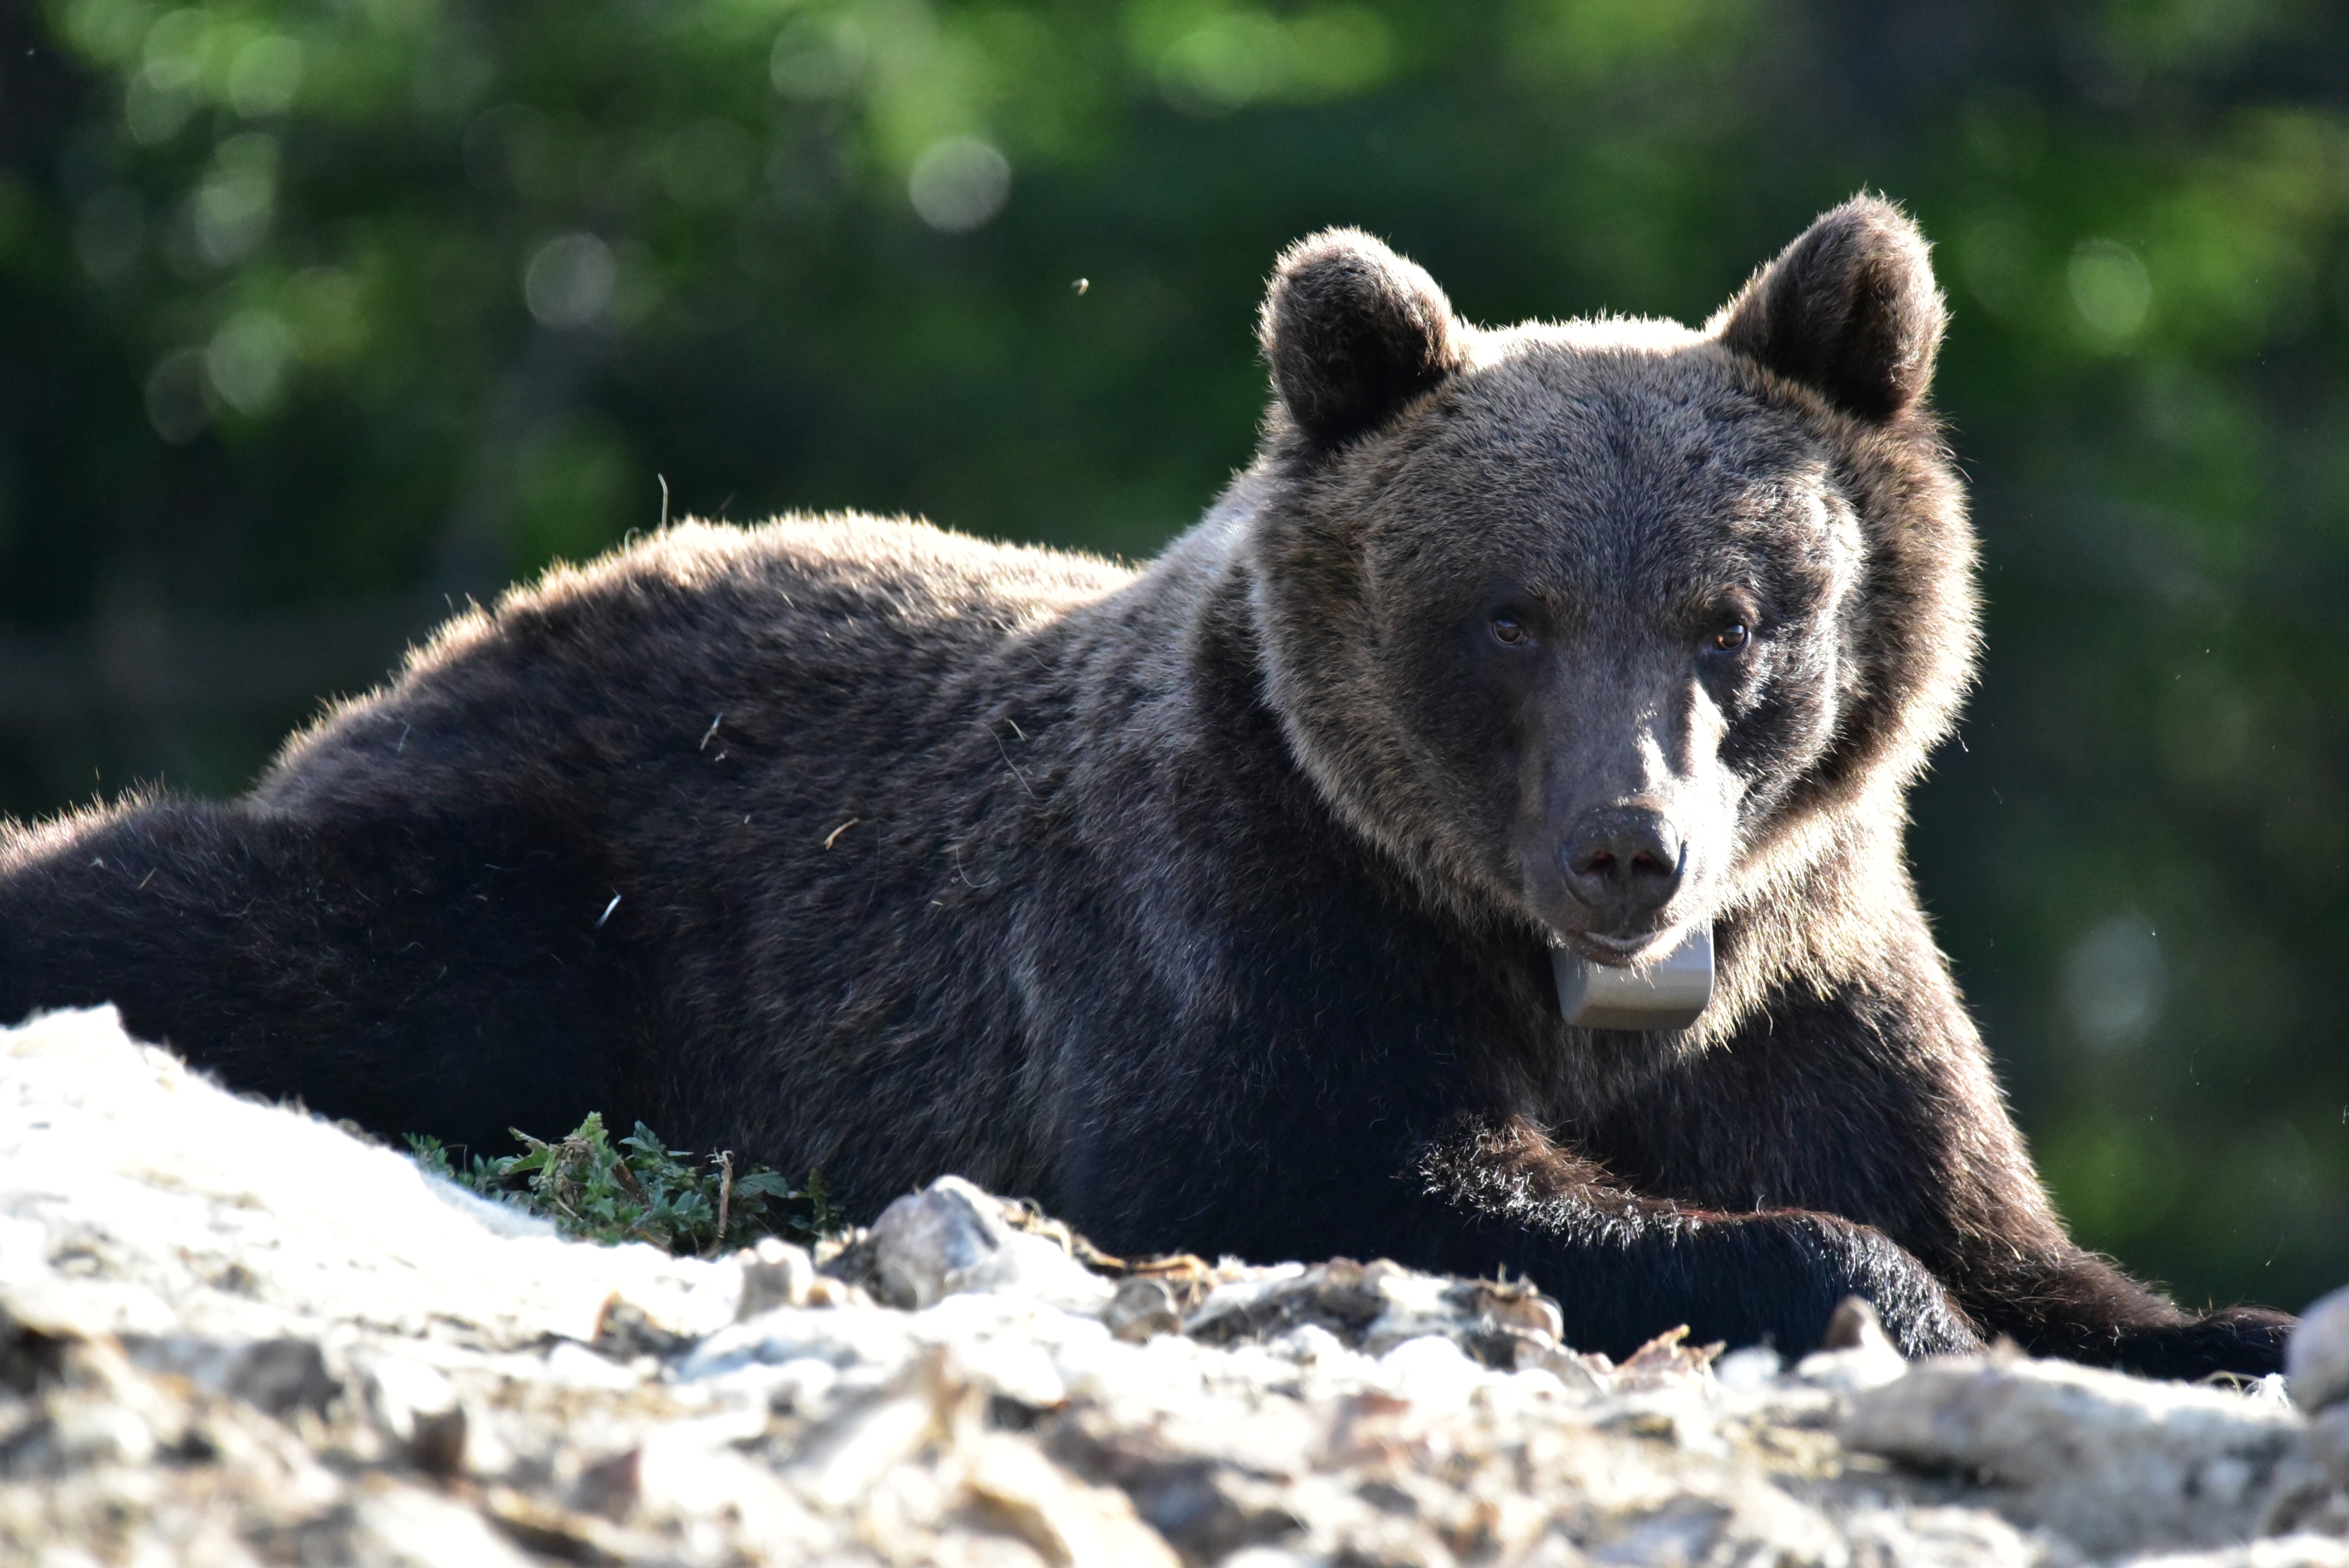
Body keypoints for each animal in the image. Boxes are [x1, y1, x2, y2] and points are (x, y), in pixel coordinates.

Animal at [0, 197, 2292, 1375]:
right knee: (265, 919)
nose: (1622, 850)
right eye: (1507, 614)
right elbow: (1329, 1158)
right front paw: (1859, 1286)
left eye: (1732, 614)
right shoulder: (1240, 916)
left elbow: (2014, 1234)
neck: (1580, 992)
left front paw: (2219, 1322)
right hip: (557, 877)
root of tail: (459, 633)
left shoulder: (1809, 983)